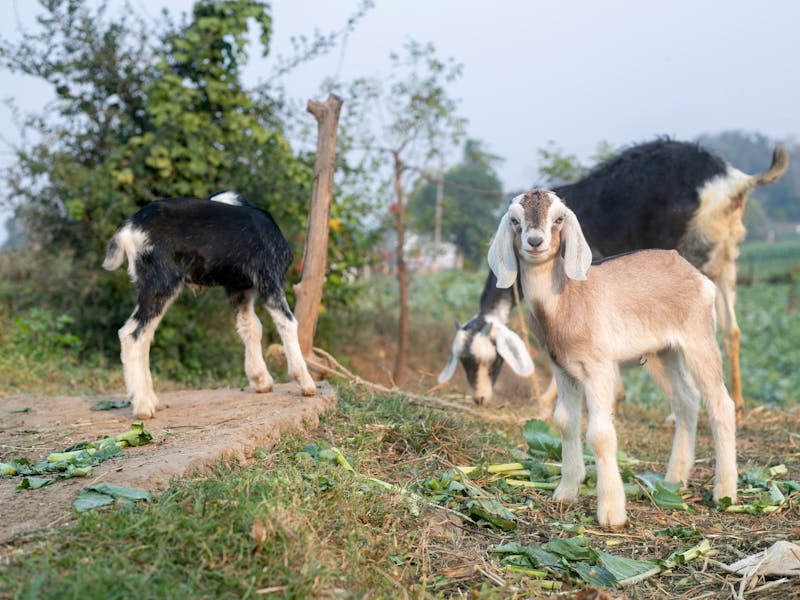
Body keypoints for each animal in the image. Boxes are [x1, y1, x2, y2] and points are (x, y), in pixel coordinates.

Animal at [103, 191, 316, 419]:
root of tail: (130, 227)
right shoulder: (270, 279)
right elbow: (288, 323)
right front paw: (305, 382)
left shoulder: (238, 289)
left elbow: (251, 327)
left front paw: (261, 380)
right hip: (161, 283)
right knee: (131, 334)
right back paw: (143, 405)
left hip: (153, 287)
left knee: (144, 336)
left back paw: (150, 399)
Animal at [442, 140, 788, 419]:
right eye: (463, 361)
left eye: (489, 361)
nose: (480, 399)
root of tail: (731, 180)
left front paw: (550, 402)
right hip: (726, 259)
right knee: (732, 329)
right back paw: (739, 404)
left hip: (690, 255)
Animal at [488, 190, 738, 528]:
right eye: (515, 220)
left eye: (559, 218)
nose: (535, 242)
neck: (568, 300)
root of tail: (698, 277)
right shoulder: (562, 368)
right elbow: (564, 422)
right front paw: (565, 491)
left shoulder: (599, 368)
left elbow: (600, 434)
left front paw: (611, 512)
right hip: (663, 353)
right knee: (686, 401)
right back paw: (674, 481)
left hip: (698, 338)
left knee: (720, 404)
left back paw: (725, 492)